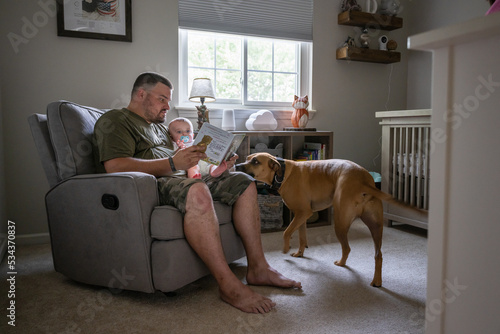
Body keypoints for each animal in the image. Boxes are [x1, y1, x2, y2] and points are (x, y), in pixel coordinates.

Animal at [235, 153, 426, 286]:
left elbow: (287, 232)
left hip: (341, 223)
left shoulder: (302, 213)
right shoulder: (301, 216)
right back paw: (376, 281)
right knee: (378, 255)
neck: (282, 172)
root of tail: (364, 181)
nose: (236, 164)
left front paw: (285, 248)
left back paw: (341, 263)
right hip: (376, 226)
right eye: (248, 158)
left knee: (347, 248)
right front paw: (300, 252)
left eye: (255, 161)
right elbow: (302, 237)